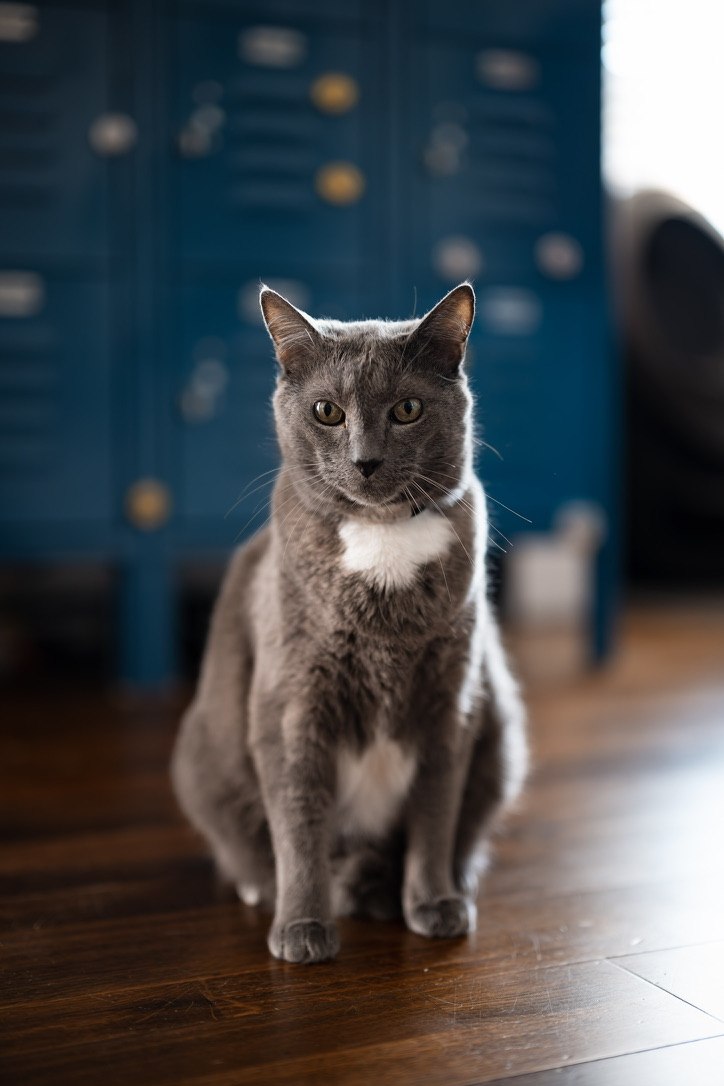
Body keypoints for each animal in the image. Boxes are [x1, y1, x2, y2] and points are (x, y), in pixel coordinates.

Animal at [170, 284, 527, 964]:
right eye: (327, 411)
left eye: (408, 408)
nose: (366, 461)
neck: (382, 538)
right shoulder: (293, 707)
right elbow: (299, 822)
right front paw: (303, 926)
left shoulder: (452, 703)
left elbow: (434, 816)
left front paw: (433, 902)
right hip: (204, 761)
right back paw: (267, 889)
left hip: (500, 731)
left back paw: (444, 883)